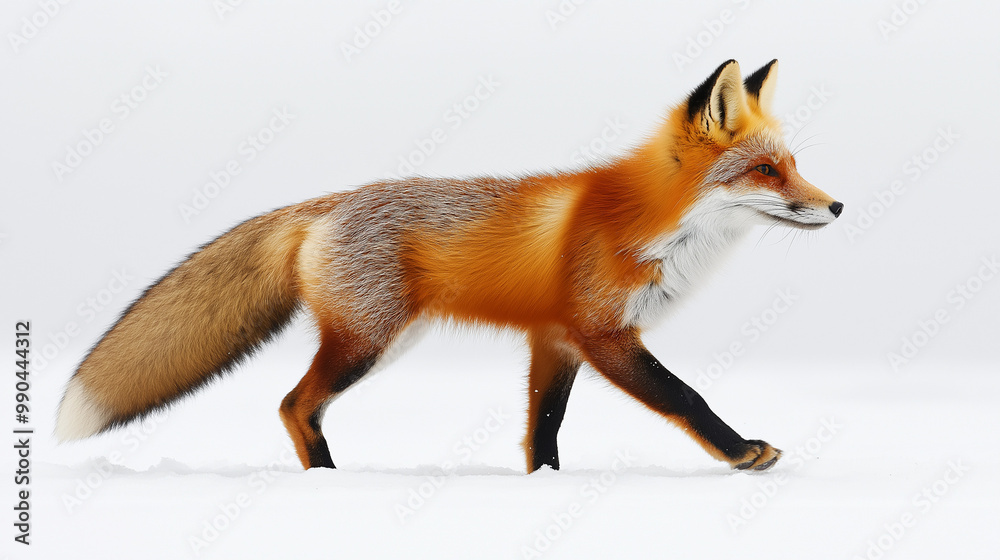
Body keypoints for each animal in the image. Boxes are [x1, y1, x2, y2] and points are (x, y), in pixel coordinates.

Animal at [56, 59, 842, 473]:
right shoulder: (603, 334)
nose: (836, 206)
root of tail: (323, 204)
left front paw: (544, 486)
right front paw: (741, 452)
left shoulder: (555, 340)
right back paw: (327, 484)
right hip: (367, 343)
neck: (649, 225)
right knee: (292, 404)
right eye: (767, 171)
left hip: (388, 341)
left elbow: (543, 427)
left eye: (792, 166)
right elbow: (686, 397)